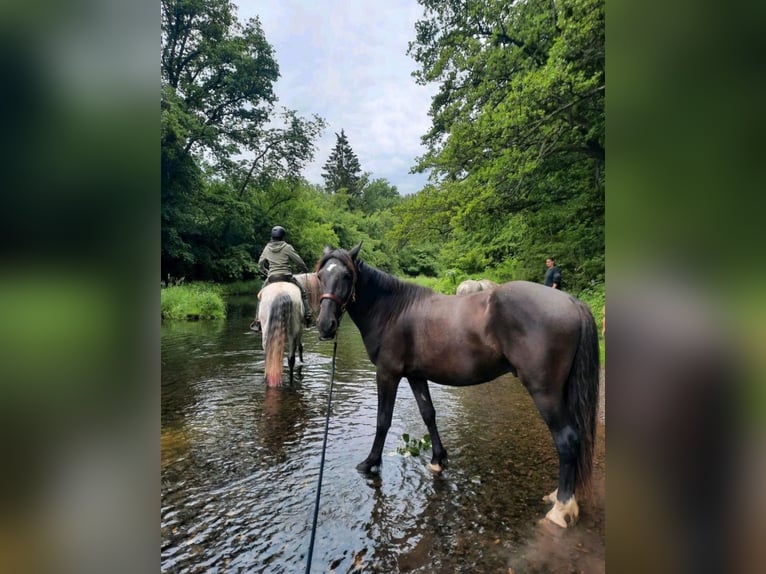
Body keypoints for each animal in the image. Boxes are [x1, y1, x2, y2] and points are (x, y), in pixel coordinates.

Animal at [314, 244, 600, 528]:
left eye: (347, 276)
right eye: (320, 276)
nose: (325, 325)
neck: (393, 312)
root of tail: (572, 301)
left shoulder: (387, 374)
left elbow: (383, 420)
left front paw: (370, 463)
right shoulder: (416, 376)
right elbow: (428, 414)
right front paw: (438, 460)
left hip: (545, 392)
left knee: (567, 439)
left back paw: (561, 508)